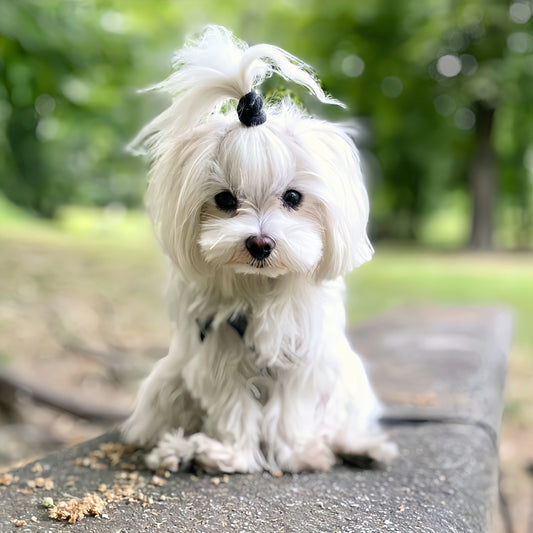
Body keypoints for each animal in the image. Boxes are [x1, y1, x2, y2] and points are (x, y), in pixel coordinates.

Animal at [121, 26, 394, 474]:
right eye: (225, 200)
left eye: (294, 197)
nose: (260, 243)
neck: (260, 287)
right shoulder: (217, 349)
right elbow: (233, 409)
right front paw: (229, 455)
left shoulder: (302, 353)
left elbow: (292, 411)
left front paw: (297, 453)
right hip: (167, 383)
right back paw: (176, 449)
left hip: (347, 379)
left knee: (338, 420)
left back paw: (358, 446)